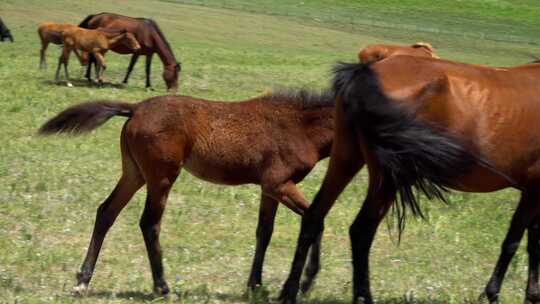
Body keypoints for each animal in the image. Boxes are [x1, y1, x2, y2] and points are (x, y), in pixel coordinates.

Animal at [38, 88, 334, 296]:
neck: (300, 126)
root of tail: (136, 108)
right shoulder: (278, 184)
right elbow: (315, 219)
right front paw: (307, 281)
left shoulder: (268, 189)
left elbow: (264, 232)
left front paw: (255, 286)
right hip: (162, 177)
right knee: (149, 223)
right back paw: (162, 287)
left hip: (134, 173)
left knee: (106, 212)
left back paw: (83, 281)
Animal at [278, 55, 540, 304]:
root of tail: (365, 72)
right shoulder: (532, 190)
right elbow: (513, 241)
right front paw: (492, 294)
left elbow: (532, 242)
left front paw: (532, 295)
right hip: (387, 176)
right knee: (362, 230)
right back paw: (363, 297)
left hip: (346, 158)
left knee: (314, 216)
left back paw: (290, 292)